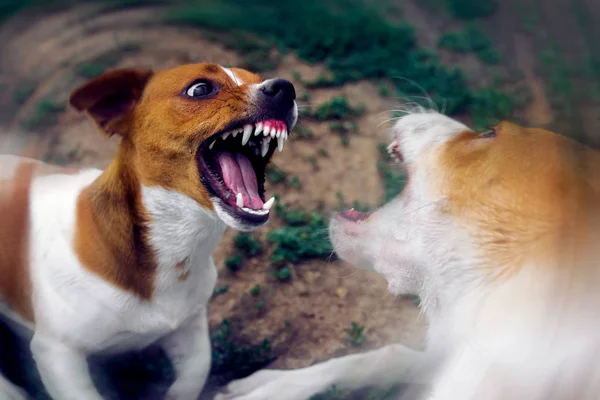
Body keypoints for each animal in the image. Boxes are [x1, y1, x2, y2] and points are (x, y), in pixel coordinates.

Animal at [0, 63, 298, 400]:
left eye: (256, 78)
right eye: (200, 89)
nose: (284, 88)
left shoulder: (189, 329)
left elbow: (192, 377)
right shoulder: (58, 355)